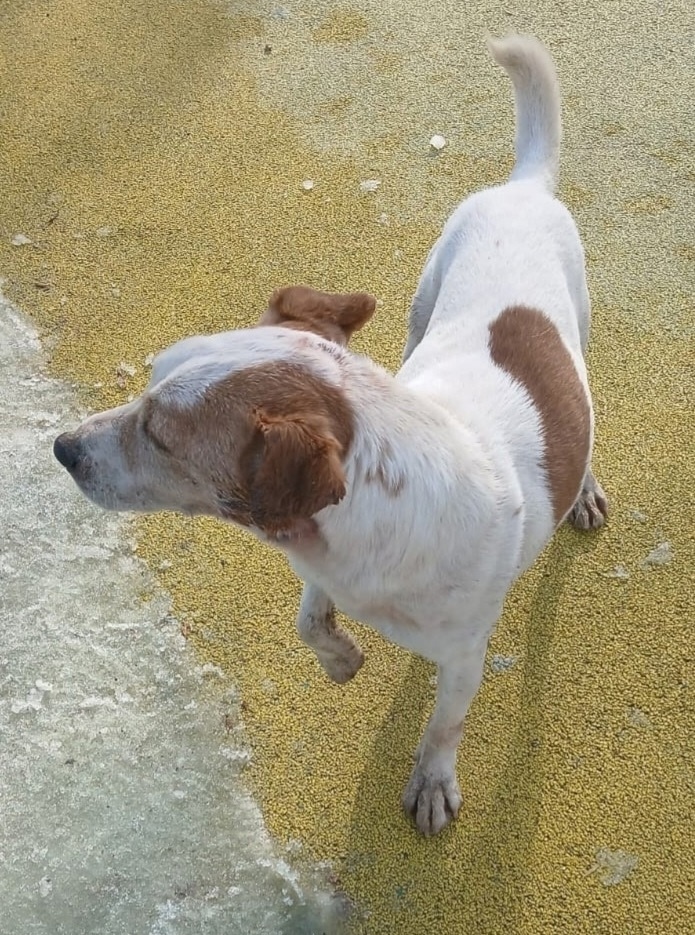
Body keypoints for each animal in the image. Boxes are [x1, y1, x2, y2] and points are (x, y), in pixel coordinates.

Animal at [54, 34, 607, 836]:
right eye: (147, 382)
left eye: (158, 432)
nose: (60, 447)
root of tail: (523, 188)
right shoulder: (315, 562)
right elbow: (307, 621)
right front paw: (341, 658)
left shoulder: (463, 656)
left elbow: (443, 727)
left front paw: (431, 782)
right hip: (419, 309)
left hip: (580, 331)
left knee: (588, 413)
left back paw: (585, 487)